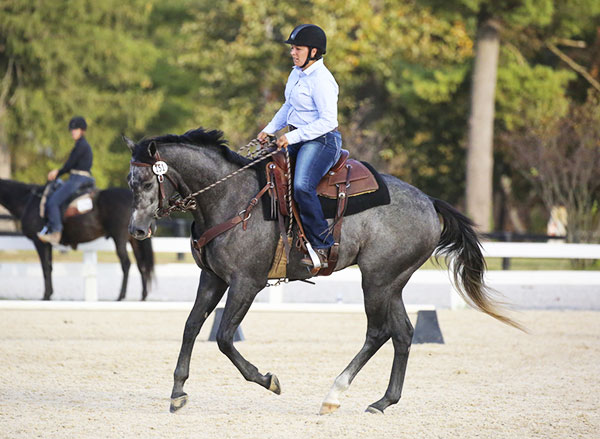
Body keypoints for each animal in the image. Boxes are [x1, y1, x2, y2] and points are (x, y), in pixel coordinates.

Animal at [0, 178, 155, 300]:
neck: (26, 201)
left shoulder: (39, 242)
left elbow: (45, 268)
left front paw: (46, 296)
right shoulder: (47, 244)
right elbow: (49, 267)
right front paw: (50, 294)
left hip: (120, 238)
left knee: (126, 264)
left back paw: (120, 297)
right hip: (134, 240)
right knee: (141, 265)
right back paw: (143, 296)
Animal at [123, 128, 520, 416]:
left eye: (148, 182)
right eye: (130, 184)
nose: (137, 231)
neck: (230, 198)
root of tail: (429, 202)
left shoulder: (246, 283)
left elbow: (222, 337)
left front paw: (268, 380)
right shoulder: (213, 278)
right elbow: (192, 326)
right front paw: (177, 391)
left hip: (376, 279)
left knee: (378, 332)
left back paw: (334, 394)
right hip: (392, 282)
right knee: (404, 333)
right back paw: (382, 402)